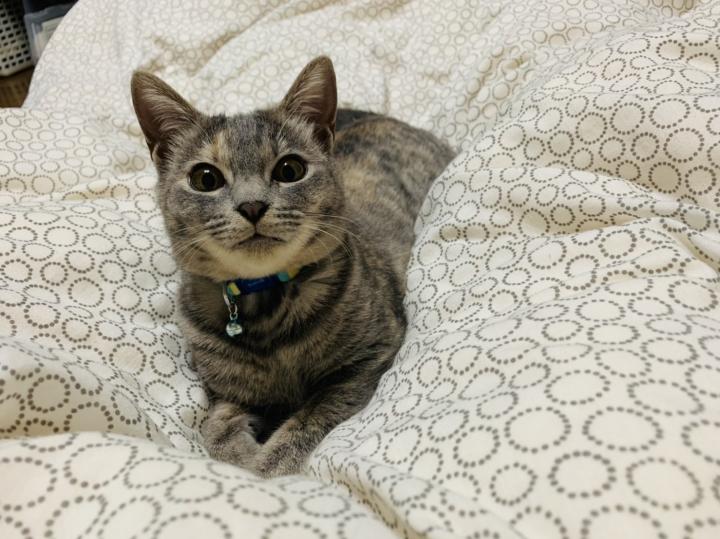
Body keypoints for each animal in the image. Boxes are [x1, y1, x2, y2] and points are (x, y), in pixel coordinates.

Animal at [131, 56, 454, 477]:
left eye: (289, 170)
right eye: (205, 178)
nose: (252, 205)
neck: (267, 312)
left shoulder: (370, 355)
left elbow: (312, 415)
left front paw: (271, 464)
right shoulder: (226, 391)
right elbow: (215, 429)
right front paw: (240, 460)